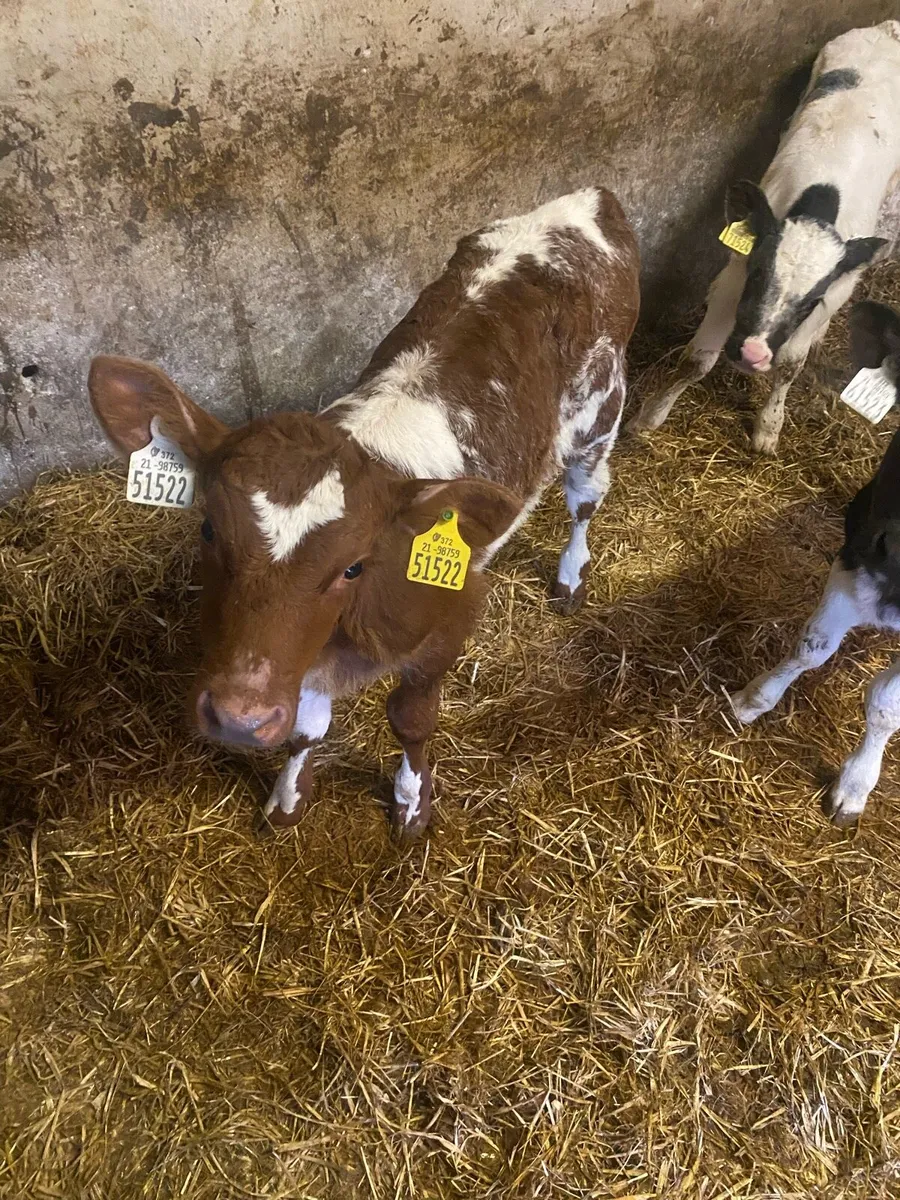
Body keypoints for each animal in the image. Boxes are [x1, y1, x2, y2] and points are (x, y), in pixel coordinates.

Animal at [89, 188, 640, 839]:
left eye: (353, 566)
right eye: (208, 529)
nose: (238, 719)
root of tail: (585, 200)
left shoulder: (452, 616)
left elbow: (412, 718)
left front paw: (412, 801)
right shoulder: (296, 658)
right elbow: (304, 729)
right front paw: (288, 796)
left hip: (599, 415)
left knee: (585, 500)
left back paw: (570, 577)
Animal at [628, 20, 900, 455]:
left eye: (811, 301)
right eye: (758, 274)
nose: (754, 354)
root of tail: (888, 29)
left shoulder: (835, 292)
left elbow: (789, 365)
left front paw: (769, 428)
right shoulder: (734, 273)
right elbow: (697, 360)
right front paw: (650, 417)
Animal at [730, 299, 900, 825]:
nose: (889, 545)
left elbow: (887, 703)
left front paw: (856, 785)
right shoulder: (851, 564)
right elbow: (812, 647)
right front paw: (752, 701)